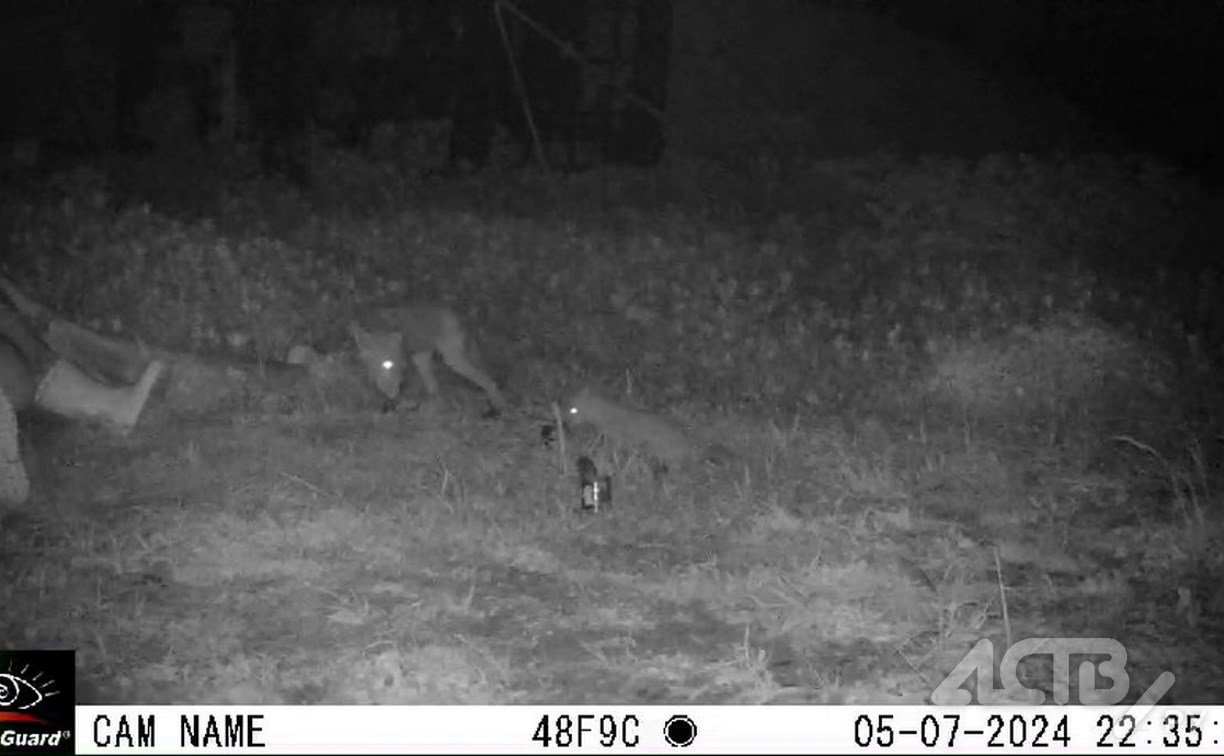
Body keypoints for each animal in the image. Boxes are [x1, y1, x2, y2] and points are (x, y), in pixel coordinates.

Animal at [350, 303, 506, 411]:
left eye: (388, 363)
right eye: (371, 362)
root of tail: (459, 316)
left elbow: (392, 383)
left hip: (453, 360)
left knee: (488, 381)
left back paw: (498, 406)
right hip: (423, 360)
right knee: (434, 387)